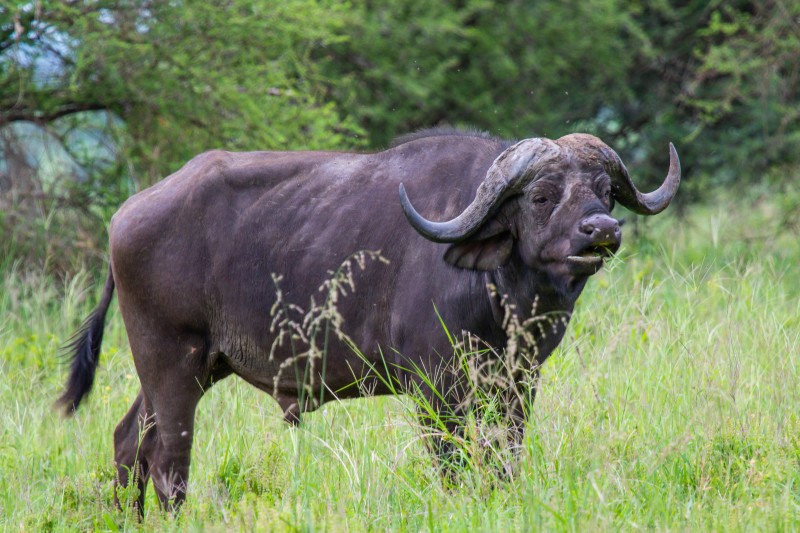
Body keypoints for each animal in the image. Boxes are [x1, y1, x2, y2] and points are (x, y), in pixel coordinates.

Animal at [57, 127, 680, 510]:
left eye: (605, 191)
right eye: (544, 195)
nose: (601, 231)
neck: (501, 293)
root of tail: (126, 215)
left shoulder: (519, 385)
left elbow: (504, 461)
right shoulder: (436, 390)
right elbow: (453, 465)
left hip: (187, 368)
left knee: (128, 444)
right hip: (172, 365)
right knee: (168, 464)